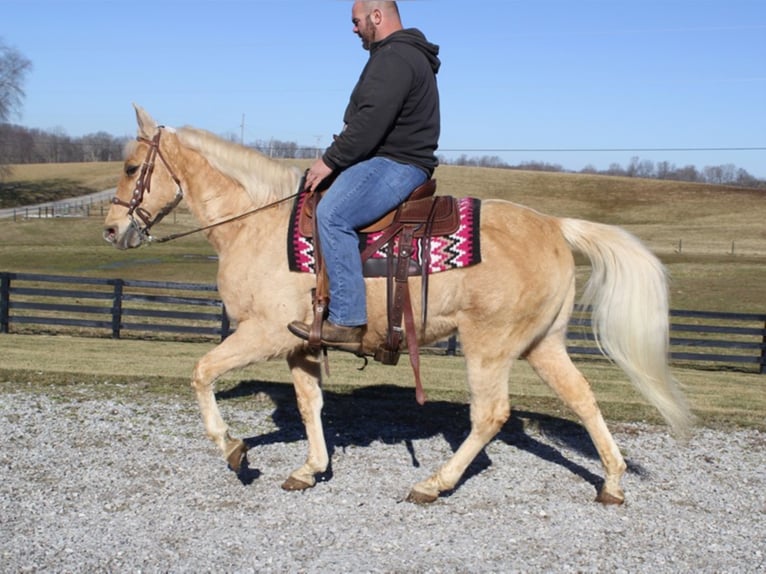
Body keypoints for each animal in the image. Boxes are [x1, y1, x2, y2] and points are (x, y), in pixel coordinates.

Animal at [103, 106, 696, 506]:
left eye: (132, 168)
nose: (111, 229)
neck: (258, 222)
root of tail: (554, 225)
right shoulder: (301, 345)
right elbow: (310, 405)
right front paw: (310, 468)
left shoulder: (263, 333)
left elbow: (202, 371)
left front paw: (232, 447)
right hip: (543, 345)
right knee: (583, 399)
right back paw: (612, 482)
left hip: (489, 348)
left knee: (490, 415)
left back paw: (433, 483)